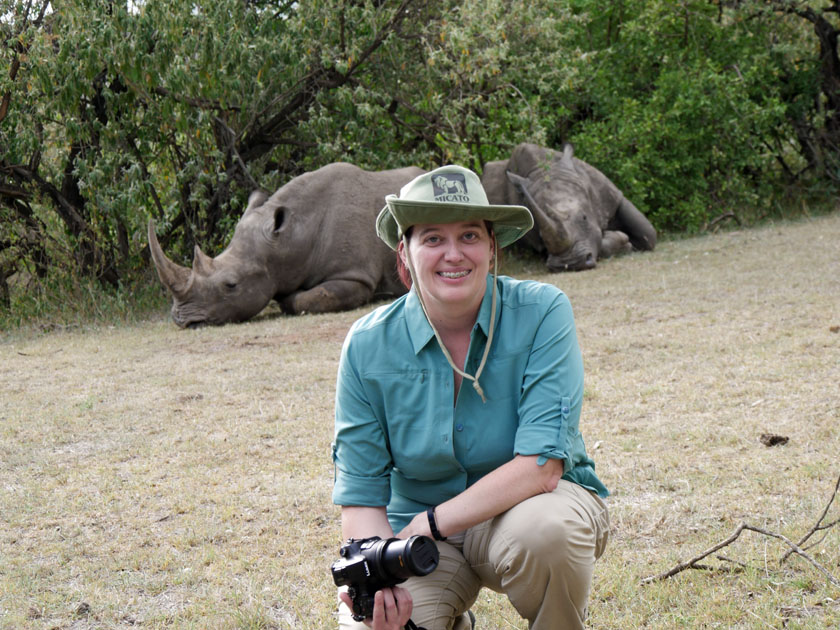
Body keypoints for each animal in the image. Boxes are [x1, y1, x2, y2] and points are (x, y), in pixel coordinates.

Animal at [148, 164, 424, 326]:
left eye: (231, 285)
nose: (183, 320)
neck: (293, 237)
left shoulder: (355, 275)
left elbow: (312, 298)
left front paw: (288, 298)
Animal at [480, 143, 656, 272]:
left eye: (584, 218)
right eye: (541, 237)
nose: (569, 264)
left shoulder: (610, 195)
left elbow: (648, 234)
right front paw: (622, 240)